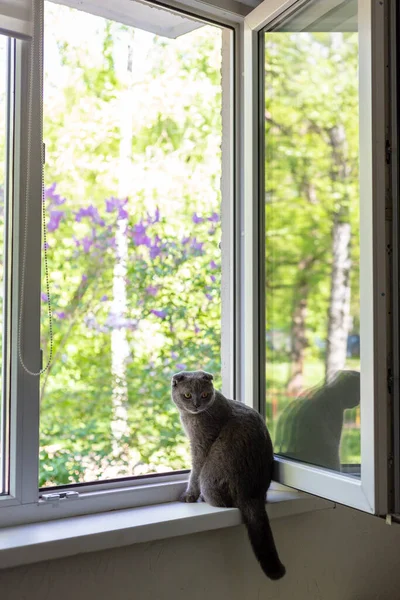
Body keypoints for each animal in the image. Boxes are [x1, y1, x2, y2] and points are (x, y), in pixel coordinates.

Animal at [171, 368, 284, 580]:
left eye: (205, 394)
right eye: (187, 395)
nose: (197, 404)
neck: (191, 417)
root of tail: (251, 495)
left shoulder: (200, 445)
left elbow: (194, 471)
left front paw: (189, 495)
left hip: (209, 477)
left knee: (222, 501)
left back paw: (204, 499)